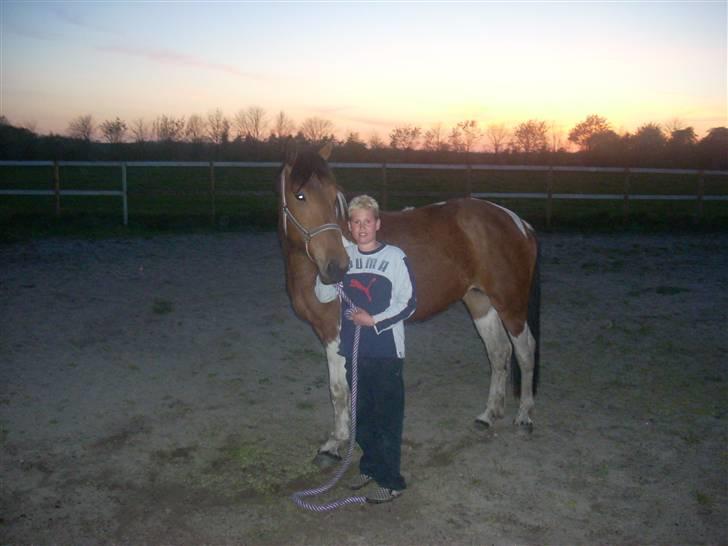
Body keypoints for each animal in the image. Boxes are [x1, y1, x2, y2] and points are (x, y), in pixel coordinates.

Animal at [278, 142, 540, 462]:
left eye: (333, 195)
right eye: (300, 195)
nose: (337, 267)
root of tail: (518, 222)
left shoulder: (334, 331)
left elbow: (339, 389)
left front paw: (336, 443)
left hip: (511, 303)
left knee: (525, 351)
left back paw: (524, 417)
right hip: (481, 303)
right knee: (499, 352)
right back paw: (488, 415)